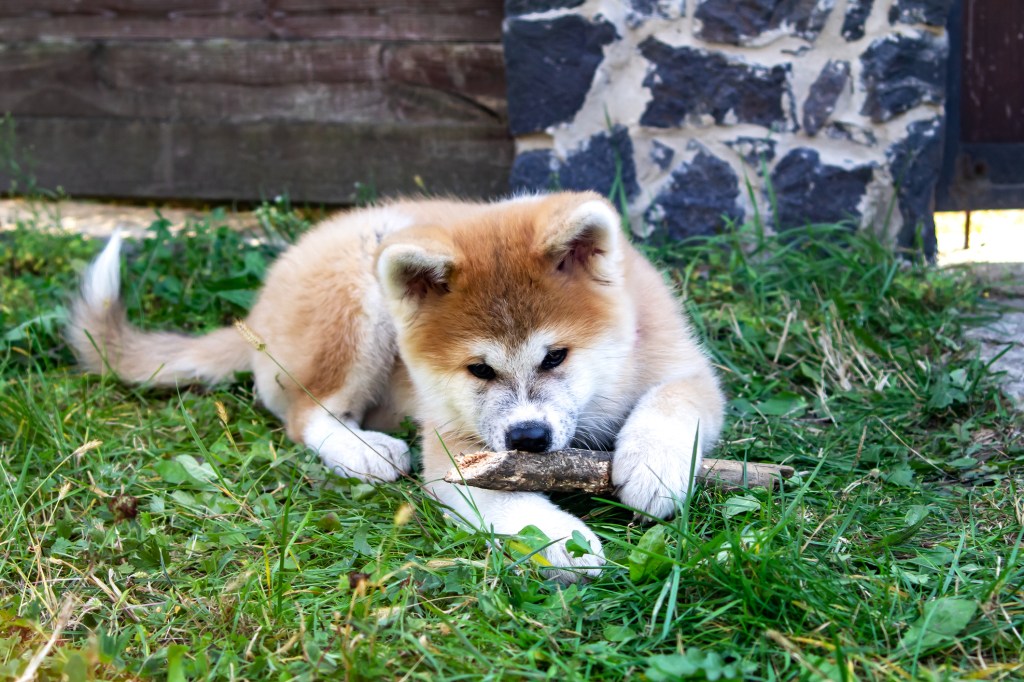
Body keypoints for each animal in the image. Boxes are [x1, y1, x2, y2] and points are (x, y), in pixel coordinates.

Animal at [68, 191, 724, 577]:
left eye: (556, 356)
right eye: (478, 369)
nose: (528, 440)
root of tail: (257, 309)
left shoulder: (687, 368)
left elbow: (674, 401)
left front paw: (655, 466)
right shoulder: (455, 448)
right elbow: (504, 500)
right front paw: (561, 539)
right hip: (356, 300)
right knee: (304, 412)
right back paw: (364, 452)